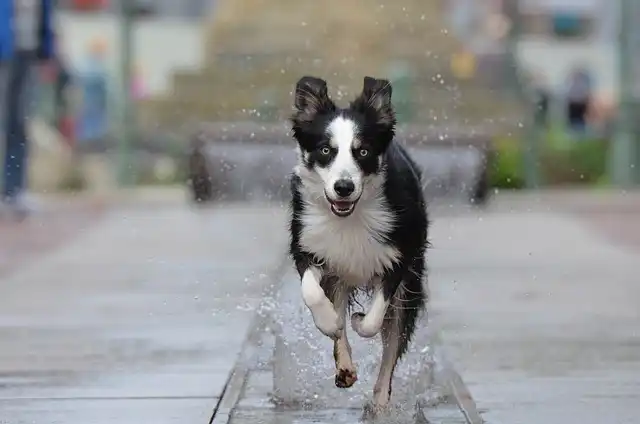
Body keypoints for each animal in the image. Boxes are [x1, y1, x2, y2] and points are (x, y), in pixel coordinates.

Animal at [288, 76, 430, 414]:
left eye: (363, 151)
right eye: (326, 150)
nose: (344, 187)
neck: (348, 218)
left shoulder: (398, 257)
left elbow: (375, 320)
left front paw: (358, 320)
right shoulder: (308, 243)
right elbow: (312, 292)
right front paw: (329, 322)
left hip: (412, 283)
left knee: (392, 345)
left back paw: (380, 401)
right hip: (340, 275)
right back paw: (345, 366)